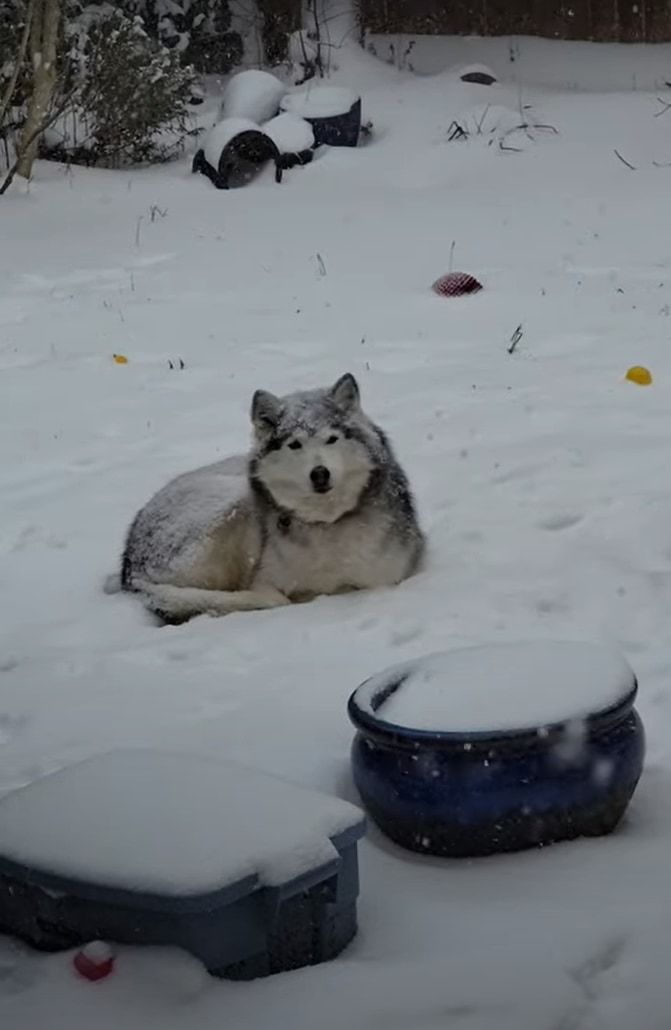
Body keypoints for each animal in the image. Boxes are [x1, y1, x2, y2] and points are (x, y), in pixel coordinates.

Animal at [119, 374, 424, 622]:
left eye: (331, 439)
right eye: (295, 444)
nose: (320, 474)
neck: (325, 523)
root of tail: (129, 566)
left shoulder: (384, 578)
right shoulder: (265, 581)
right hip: (234, 505)